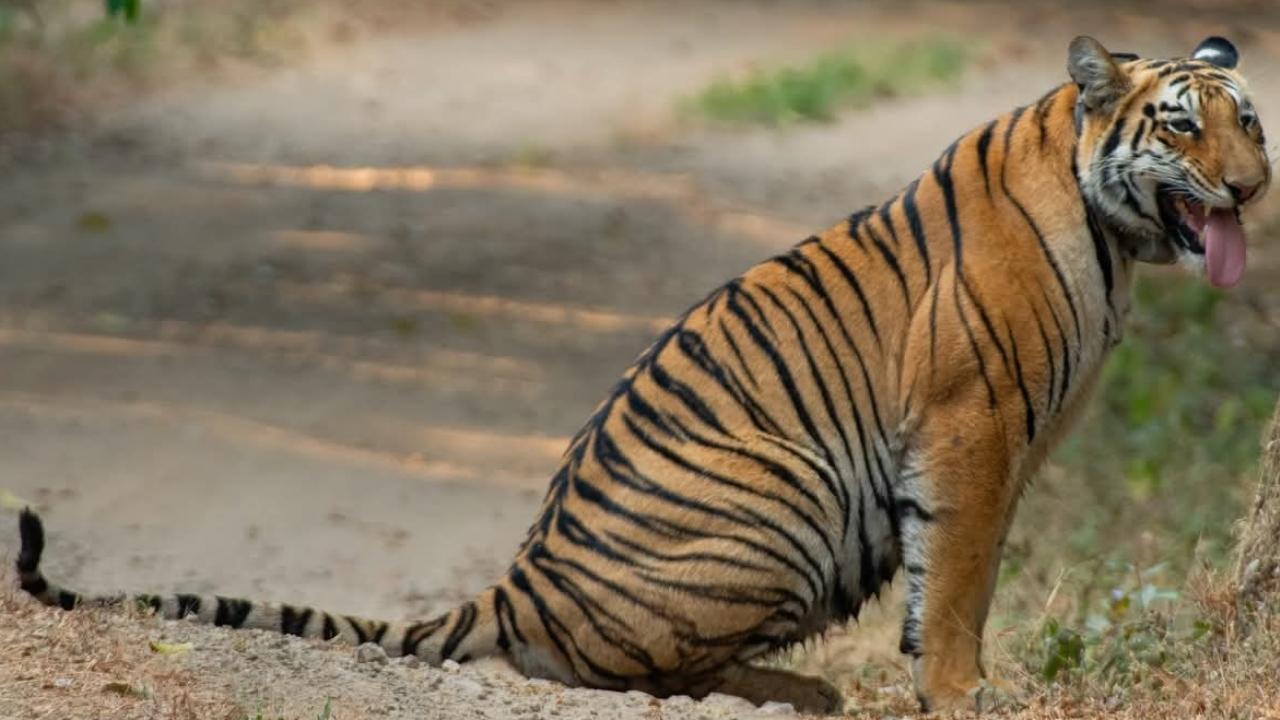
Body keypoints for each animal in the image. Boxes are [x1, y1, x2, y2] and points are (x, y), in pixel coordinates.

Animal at [14, 35, 1270, 714]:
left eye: (1246, 121)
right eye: (1179, 128)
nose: (1251, 189)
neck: (1114, 238)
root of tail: (518, 582)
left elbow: (937, 592)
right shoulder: (971, 433)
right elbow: (959, 584)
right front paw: (961, 695)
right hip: (789, 493)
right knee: (649, 677)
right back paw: (809, 694)